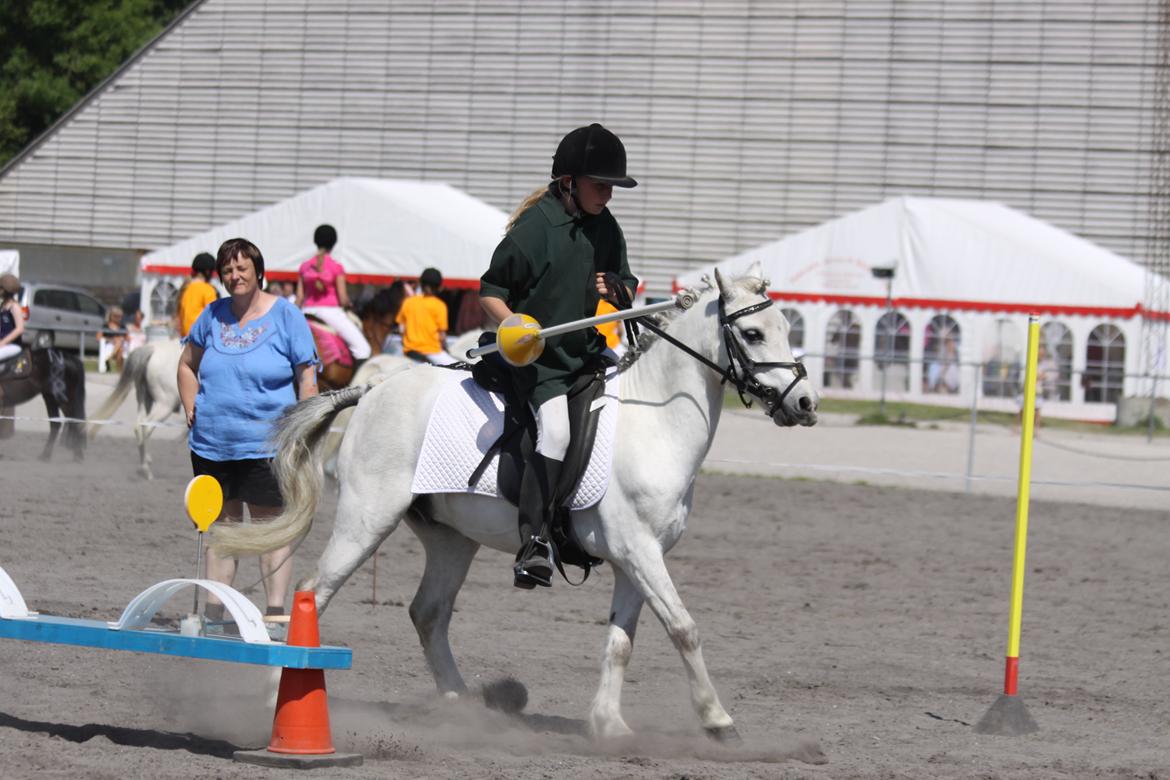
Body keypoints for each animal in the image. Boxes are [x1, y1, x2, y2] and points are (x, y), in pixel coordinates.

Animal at [214, 263, 818, 741]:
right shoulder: (639, 551)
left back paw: (463, 709)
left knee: (428, 613)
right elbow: (685, 629)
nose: (807, 404)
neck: (655, 424)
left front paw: (609, 725)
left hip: (451, 539)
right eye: (753, 333)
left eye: (788, 329)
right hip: (366, 521)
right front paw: (718, 721)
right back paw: (274, 693)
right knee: (314, 592)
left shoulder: (635, 559)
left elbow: (621, 642)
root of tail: (371, 391)